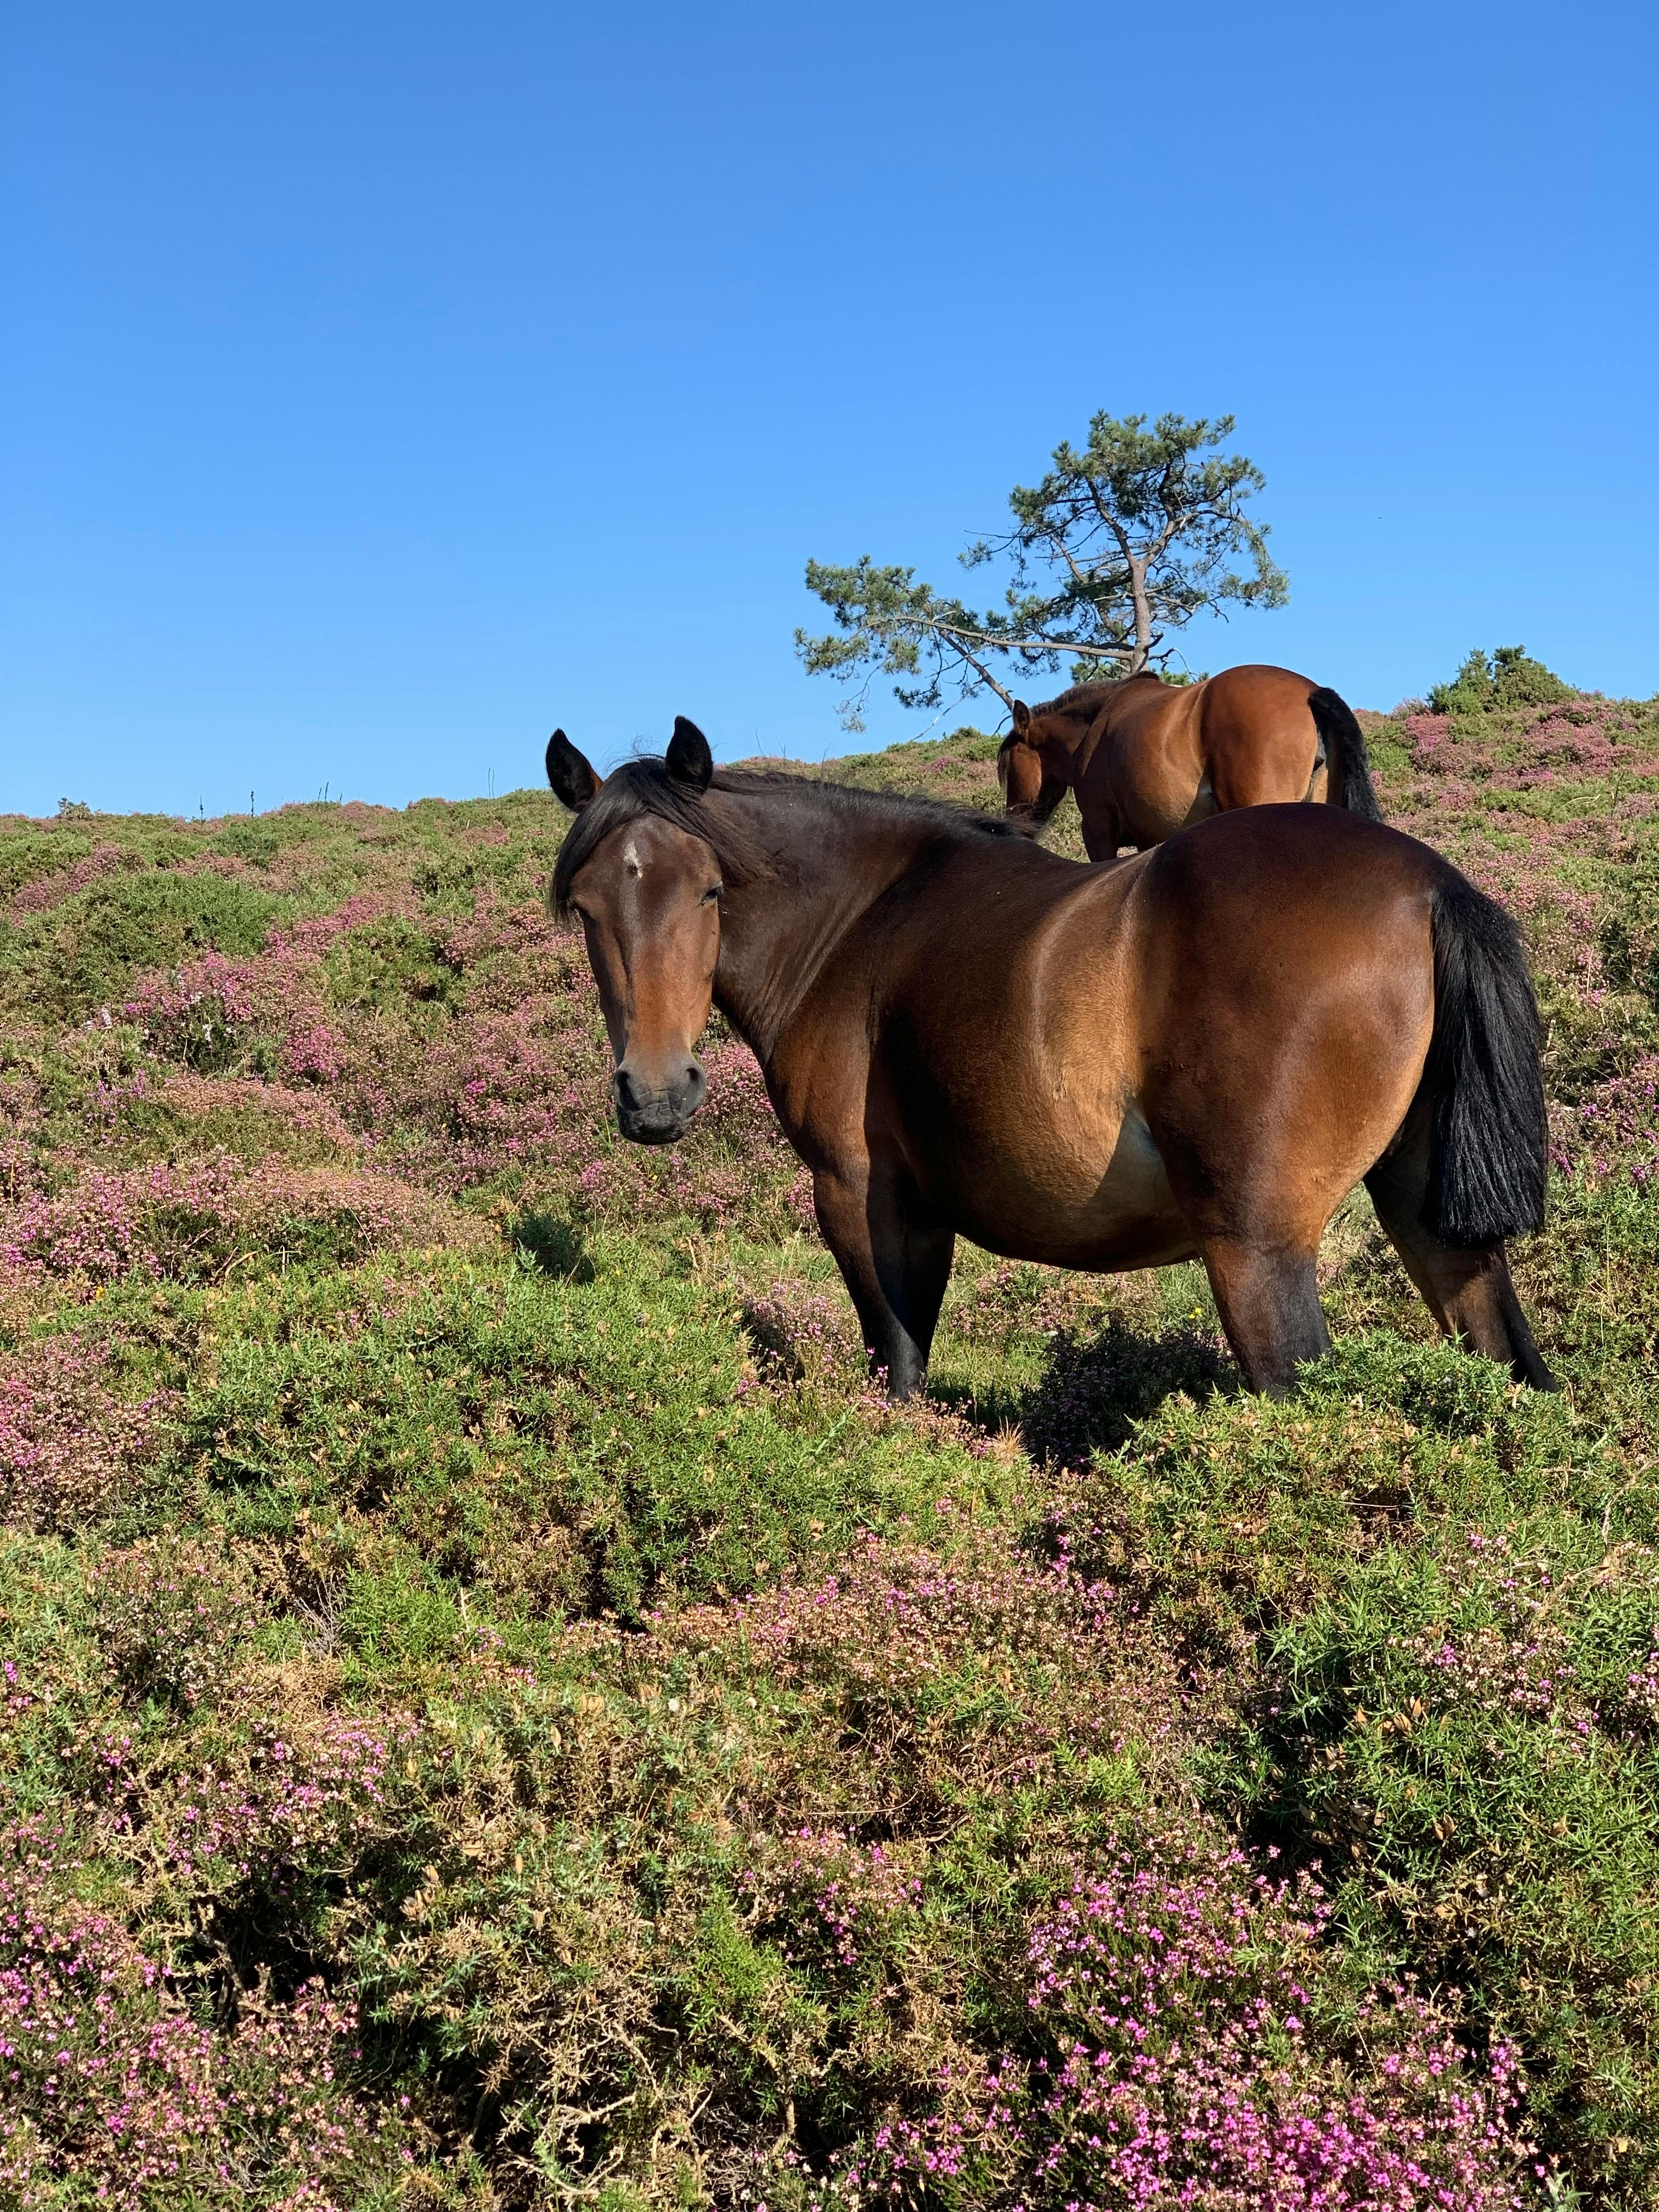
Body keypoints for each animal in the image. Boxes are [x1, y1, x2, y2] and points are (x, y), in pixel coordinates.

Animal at [547, 717, 1551, 1404]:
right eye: (585, 908)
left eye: (709, 891)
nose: (654, 1095)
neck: (858, 919)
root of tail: (1426, 885)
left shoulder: (862, 1195)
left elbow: (897, 1367)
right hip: (1430, 1224)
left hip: (1256, 1251)